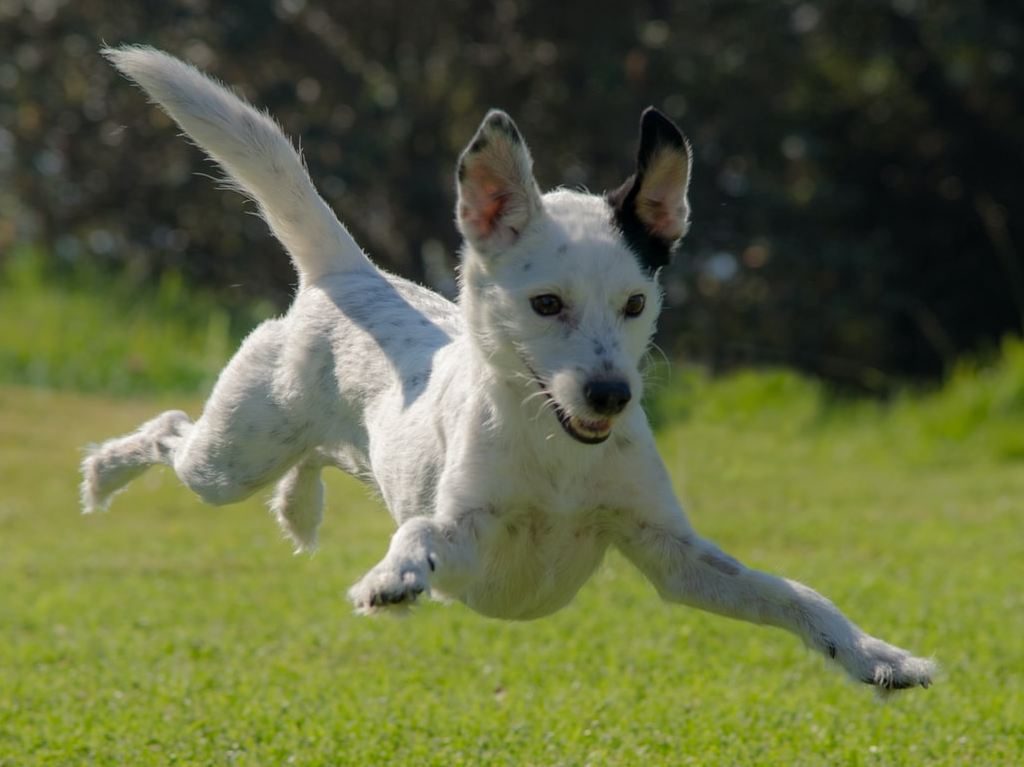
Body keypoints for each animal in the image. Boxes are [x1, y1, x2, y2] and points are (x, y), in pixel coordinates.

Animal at [81, 47, 937, 692]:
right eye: (546, 303)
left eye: (635, 303)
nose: (611, 394)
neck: (558, 455)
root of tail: (348, 274)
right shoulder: (471, 538)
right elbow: (422, 530)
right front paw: (393, 574)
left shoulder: (674, 555)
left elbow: (794, 593)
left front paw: (877, 656)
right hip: (230, 456)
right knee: (171, 430)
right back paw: (104, 473)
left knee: (311, 458)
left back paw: (298, 506)